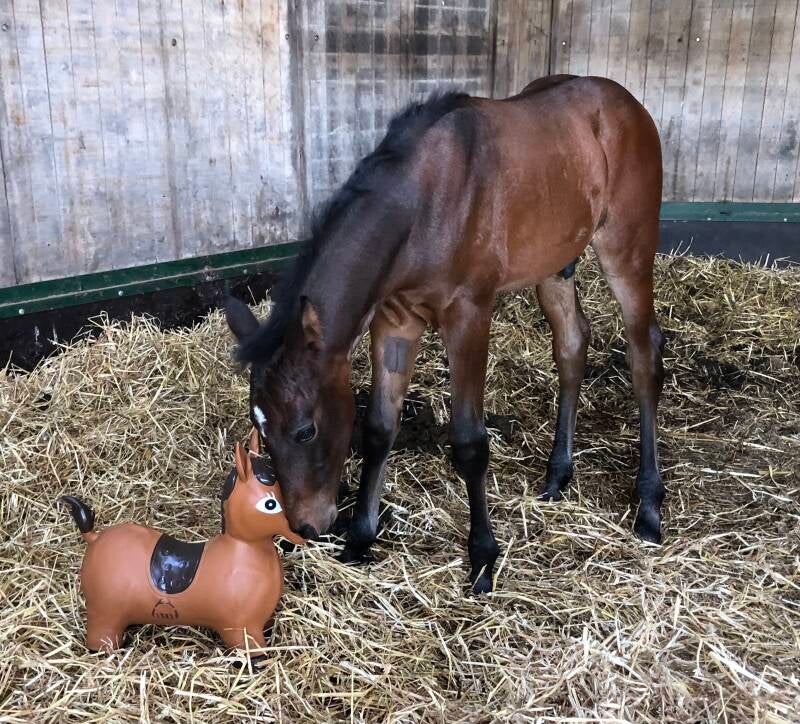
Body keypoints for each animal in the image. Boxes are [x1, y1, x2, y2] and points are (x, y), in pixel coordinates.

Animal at [225, 74, 665, 593]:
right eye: (260, 428)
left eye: (305, 430)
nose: (306, 526)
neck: (425, 206)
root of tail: (626, 102)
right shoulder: (393, 321)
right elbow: (378, 428)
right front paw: (360, 539)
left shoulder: (469, 316)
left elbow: (470, 441)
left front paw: (483, 558)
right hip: (556, 265)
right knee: (573, 345)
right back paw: (558, 475)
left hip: (627, 249)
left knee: (644, 355)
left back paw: (649, 505)